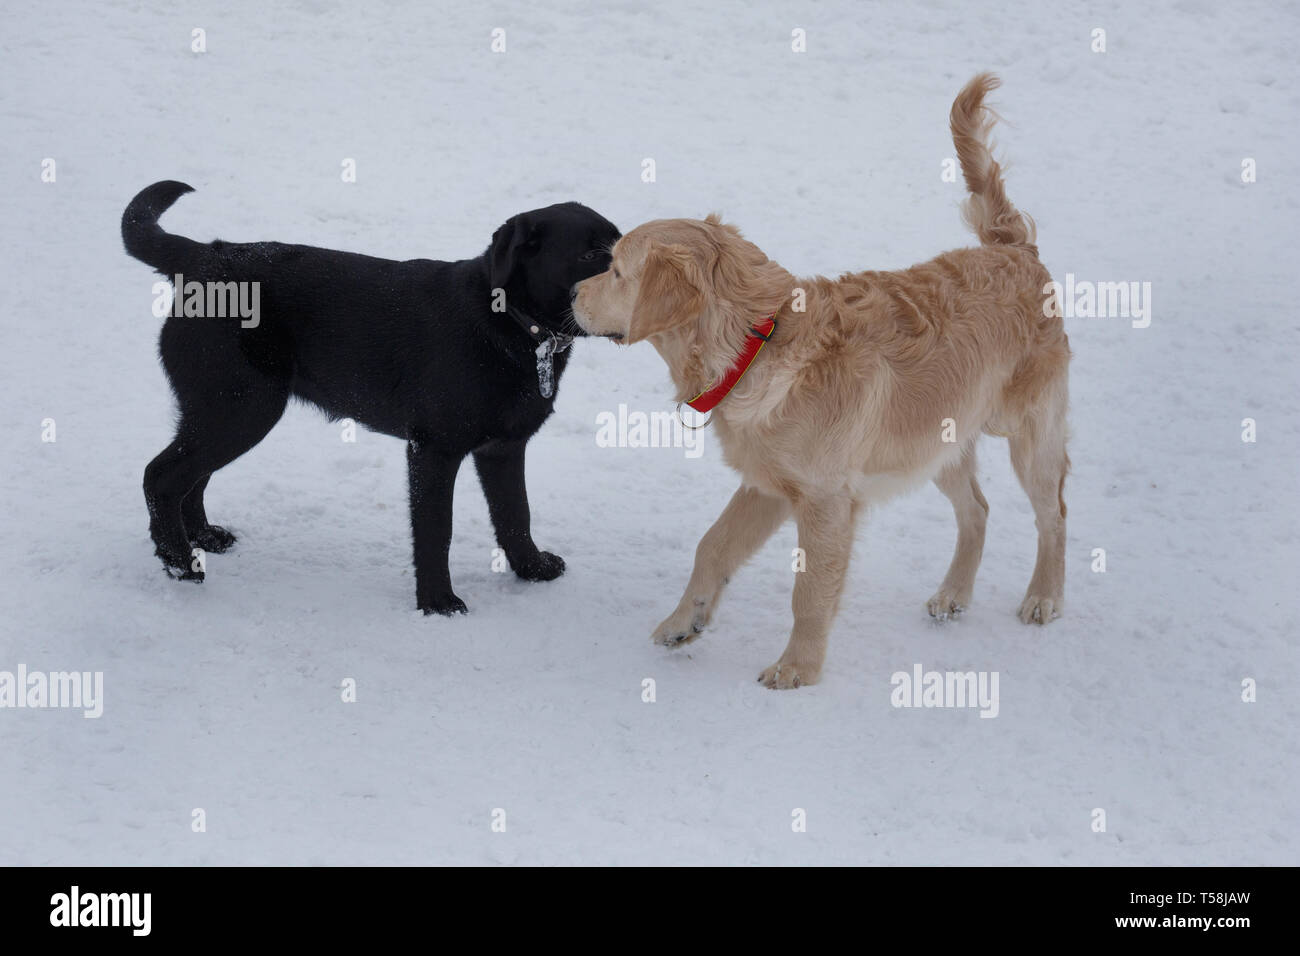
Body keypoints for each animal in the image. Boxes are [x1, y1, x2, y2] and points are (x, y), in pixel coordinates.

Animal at [124, 183, 621, 616]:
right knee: (161, 476)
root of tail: (206, 255)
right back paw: (179, 563)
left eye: (619, 243)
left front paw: (531, 569)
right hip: (239, 408)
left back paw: (204, 539)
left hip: (221, 410)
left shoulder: (502, 448)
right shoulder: (433, 449)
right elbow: (436, 530)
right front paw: (437, 603)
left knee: (190, 477)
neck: (510, 325)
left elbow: (516, 513)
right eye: (590, 255)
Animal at [574, 74, 1071, 686]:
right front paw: (683, 621)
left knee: (1053, 515)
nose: (572, 293)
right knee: (976, 509)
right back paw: (954, 593)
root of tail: (1013, 250)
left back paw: (1044, 596)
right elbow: (711, 546)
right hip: (934, 442)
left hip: (1029, 433)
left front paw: (797, 669)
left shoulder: (824, 499)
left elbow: (809, 592)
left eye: (617, 271)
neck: (756, 344)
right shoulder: (767, 484)